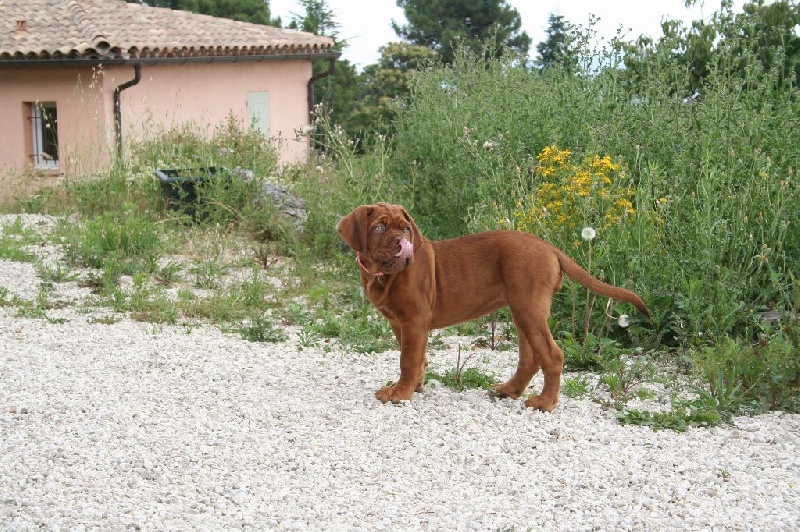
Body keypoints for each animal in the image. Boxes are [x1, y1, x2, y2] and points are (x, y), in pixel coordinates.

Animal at [338, 204, 648, 412]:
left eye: (404, 228)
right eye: (378, 228)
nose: (402, 242)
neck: (383, 276)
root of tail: (550, 248)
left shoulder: (414, 321)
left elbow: (408, 360)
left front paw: (401, 393)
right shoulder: (399, 323)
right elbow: (416, 357)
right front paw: (414, 386)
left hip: (528, 308)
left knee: (552, 355)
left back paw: (545, 403)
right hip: (523, 309)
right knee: (530, 358)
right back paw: (509, 390)